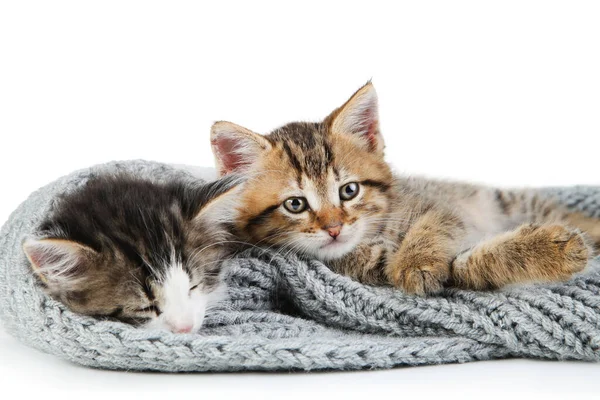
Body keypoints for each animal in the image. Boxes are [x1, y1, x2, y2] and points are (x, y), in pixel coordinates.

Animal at [207, 82, 600, 294]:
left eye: (349, 191)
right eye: (295, 205)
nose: (334, 228)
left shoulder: (438, 207)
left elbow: (434, 227)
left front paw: (416, 259)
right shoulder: (374, 270)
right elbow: (466, 266)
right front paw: (552, 251)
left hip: (511, 202)